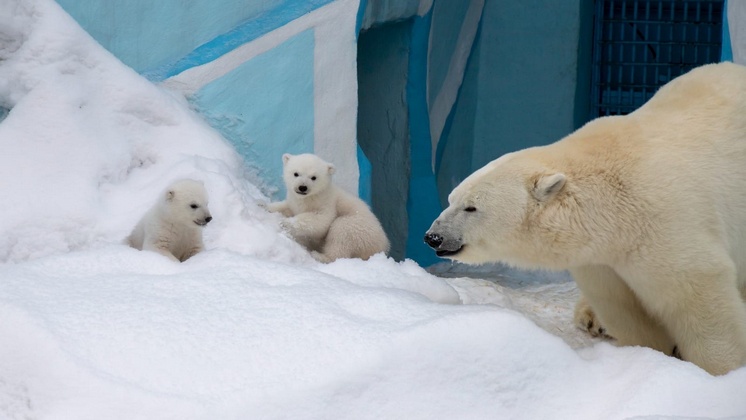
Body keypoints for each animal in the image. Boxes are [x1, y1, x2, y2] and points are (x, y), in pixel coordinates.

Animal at [424, 61, 744, 374]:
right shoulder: (602, 257)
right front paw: (648, 351)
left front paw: (723, 370)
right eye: (451, 199)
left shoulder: (665, 222)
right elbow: (622, 306)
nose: (433, 237)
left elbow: (697, 292)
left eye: (471, 207)